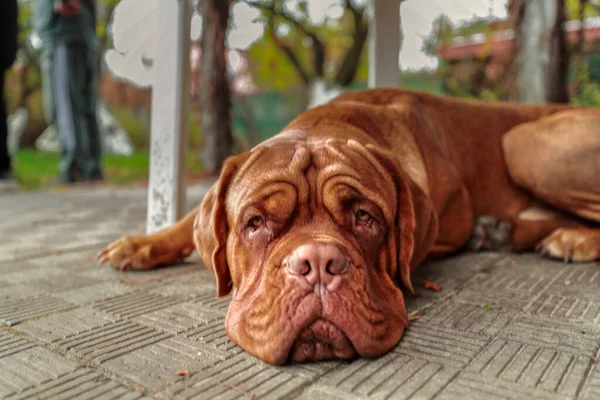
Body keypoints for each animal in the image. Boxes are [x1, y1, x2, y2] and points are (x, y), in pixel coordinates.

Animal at [98, 90, 600, 366]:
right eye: (255, 222)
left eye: (364, 216)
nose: (317, 263)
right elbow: (191, 218)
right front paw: (144, 242)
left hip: (525, 142)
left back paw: (563, 237)